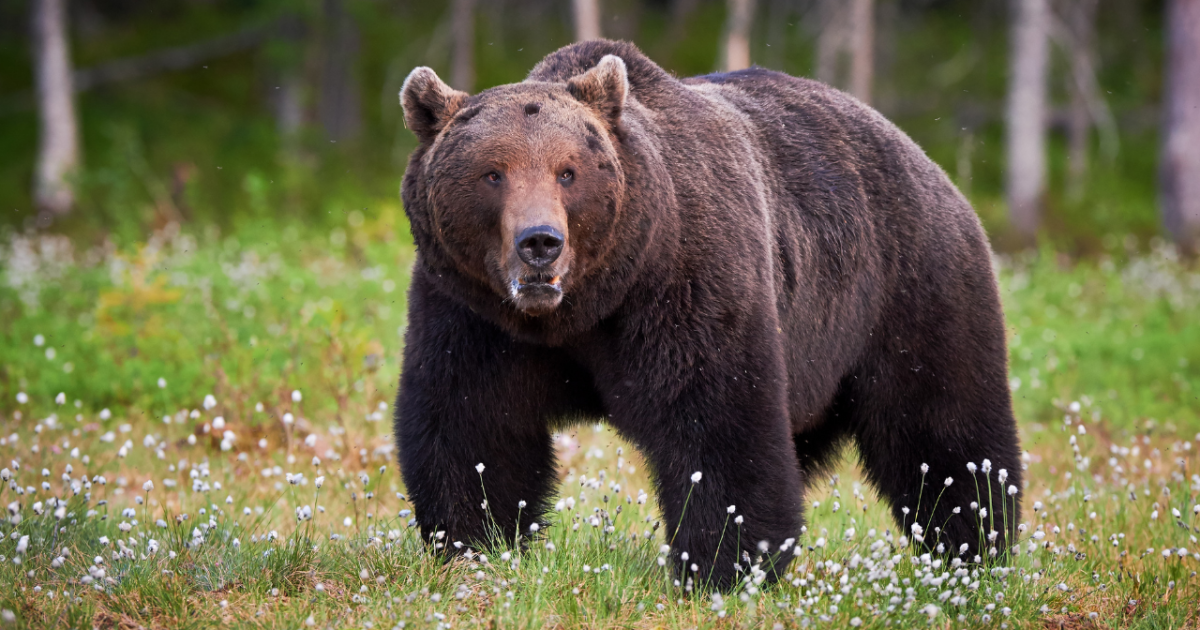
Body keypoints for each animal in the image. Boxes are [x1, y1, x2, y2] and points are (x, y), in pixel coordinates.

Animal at [394, 39, 1022, 590]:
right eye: (492, 172)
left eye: (568, 171)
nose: (540, 242)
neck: (583, 307)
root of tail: (928, 162)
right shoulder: (473, 313)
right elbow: (473, 423)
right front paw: (476, 542)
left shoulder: (686, 284)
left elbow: (716, 423)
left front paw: (720, 565)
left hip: (908, 291)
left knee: (943, 430)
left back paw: (975, 548)